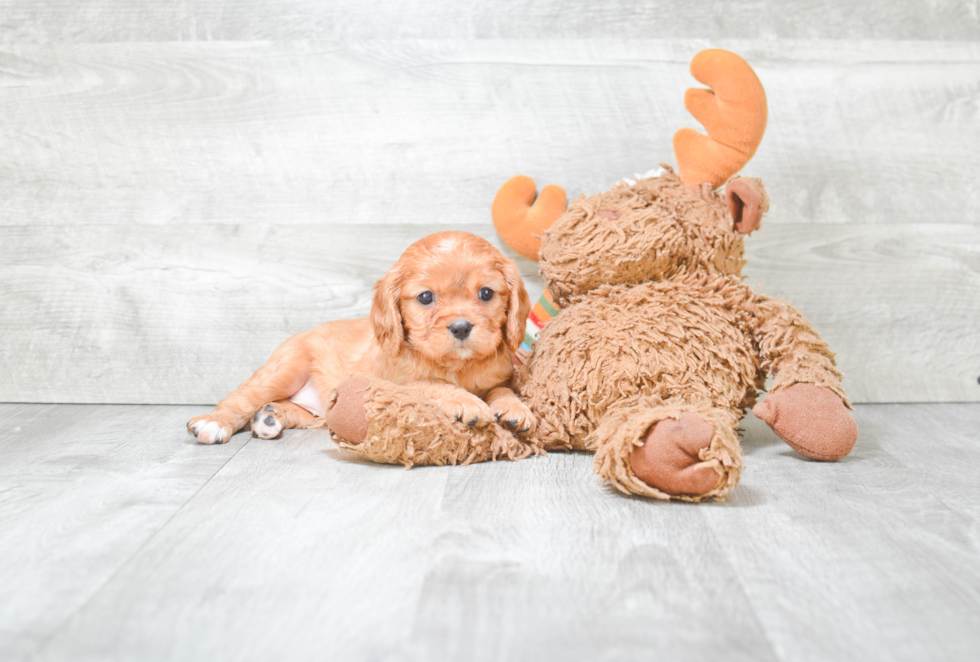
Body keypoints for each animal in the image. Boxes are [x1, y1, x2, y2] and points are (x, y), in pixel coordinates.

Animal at [184, 232, 536, 446]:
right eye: (425, 297)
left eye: (486, 293)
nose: (462, 327)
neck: (458, 366)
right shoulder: (395, 384)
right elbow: (431, 384)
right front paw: (466, 402)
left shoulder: (499, 377)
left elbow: (502, 389)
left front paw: (514, 409)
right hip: (284, 369)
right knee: (240, 398)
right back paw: (214, 423)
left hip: (313, 407)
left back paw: (270, 417)